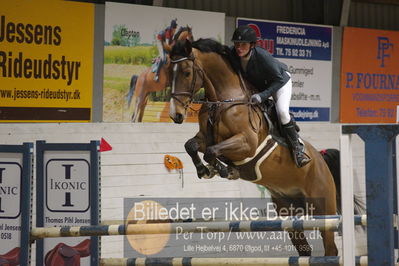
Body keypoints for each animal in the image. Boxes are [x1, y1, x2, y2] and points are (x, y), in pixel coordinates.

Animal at [169, 38, 340, 256]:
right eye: (169, 72)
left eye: (186, 73)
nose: (176, 115)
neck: (225, 100)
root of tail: (320, 160)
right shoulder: (205, 138)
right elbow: (191, 145)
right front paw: (205, 170)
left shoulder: (246, 143)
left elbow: (211, 152)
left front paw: (224, 169)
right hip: (288, 210)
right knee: (304, 250)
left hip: (322, 208)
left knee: (331, 248)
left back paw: (301, 156)